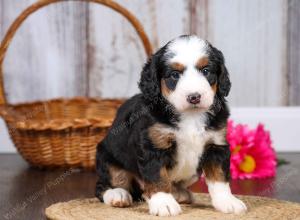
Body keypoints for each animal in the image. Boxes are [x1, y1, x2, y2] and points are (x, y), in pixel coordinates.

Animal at [95, 35, 246, 216]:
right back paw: (118, 194)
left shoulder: (216, 145)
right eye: (174, 75)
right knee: (105, 185)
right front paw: (163, 203)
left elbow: (219, 177)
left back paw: (179, 194)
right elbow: (158, 178)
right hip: (107, 157)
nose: (194, 97)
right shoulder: (153, 146)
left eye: (205, 71)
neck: (191, 115)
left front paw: (227, 201)